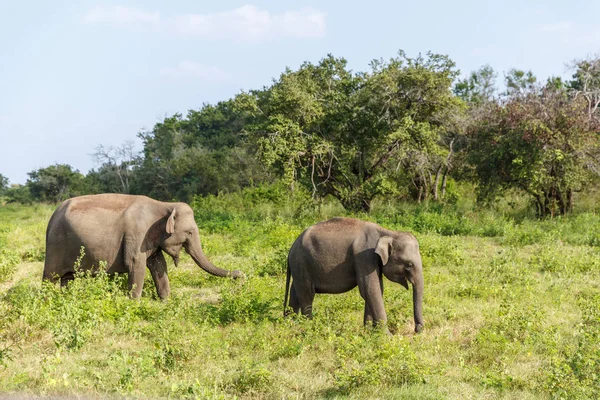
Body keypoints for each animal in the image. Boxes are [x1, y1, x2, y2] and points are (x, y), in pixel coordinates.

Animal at [42, 192, 245, 298]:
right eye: (189, 232)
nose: (241, 275)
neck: (164, 205)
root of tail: (51, 217)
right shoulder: (137, 234)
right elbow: (135, 265)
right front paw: (133, 303)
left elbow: (159, 265)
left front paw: (166, 302)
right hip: (56, 246)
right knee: (50, 277)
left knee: (67, 279)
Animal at [284, 217, 422, 332]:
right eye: (409, 264)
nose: (417, 330)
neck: (388, 233)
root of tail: (291, 247)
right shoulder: (364, 257)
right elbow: (370, 290)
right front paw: (386, 336)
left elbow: (375, 290)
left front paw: (369, 332)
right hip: (302, 263)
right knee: (307, 294)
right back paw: (309, 327)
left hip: (299, 267)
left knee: (295, 292)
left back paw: (290, 325)